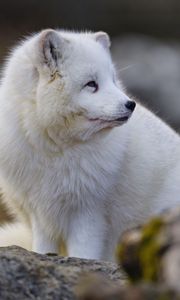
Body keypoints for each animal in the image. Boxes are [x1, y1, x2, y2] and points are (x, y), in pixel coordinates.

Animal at [0, 28, 180, 260]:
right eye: (91, 84)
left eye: (113, 80)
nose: (130, 104)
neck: (55, 152)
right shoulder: (40, 214)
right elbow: (42, 249)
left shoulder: (89, 213)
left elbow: (83, 254)